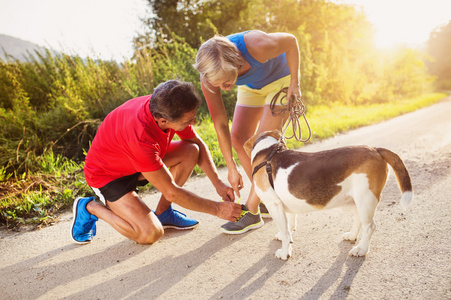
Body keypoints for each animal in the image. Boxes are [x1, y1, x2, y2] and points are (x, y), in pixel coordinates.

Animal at [245, 130, 414, 258]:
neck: (269, 152)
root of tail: (375, 149)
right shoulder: (283, 203)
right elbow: (289, 225)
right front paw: (284, 235)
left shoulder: (273, 203)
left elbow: (286, 232)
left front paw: (285, 252)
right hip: (357, 200)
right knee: (358, 221)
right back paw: (352, 236)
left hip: (366, 199)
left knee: (370, 227)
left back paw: (361, 249)